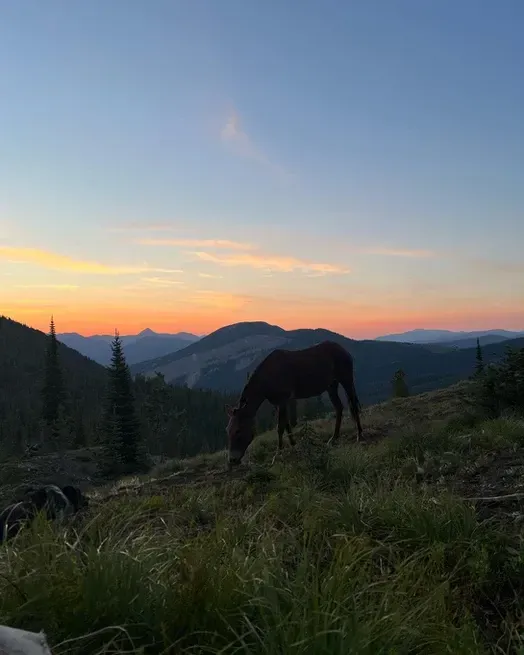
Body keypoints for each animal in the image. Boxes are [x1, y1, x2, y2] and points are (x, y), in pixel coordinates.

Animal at [226, 340, 363, 467]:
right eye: (228, 430)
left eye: (238, 431)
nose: (232, 460)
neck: (267, 378)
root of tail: (344, 350)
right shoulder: (279, 403)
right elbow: (287, 425)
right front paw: (294, 445)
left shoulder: (282, 400)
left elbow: (280, 427)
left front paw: (278, 455)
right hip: (331, 385)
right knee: (339, 408)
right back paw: (334, 438)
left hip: (346, 380)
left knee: (353, 406)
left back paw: (359, 435)